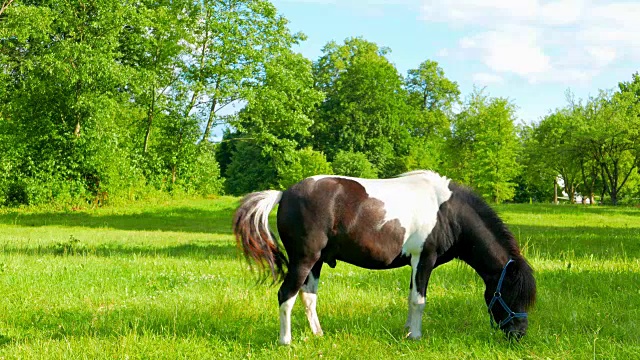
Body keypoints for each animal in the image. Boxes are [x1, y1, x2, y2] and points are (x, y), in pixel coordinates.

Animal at [234, 172, 536, 346]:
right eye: (511, 292)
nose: (520, 334)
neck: (448, 212)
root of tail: (284, 193)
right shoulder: (423, 259)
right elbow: (419, 301)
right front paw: (416, 336)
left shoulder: (416, 264)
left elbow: (411, 298)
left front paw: (407, 331)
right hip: (303, 260)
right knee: (286, 296)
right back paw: (286, 341)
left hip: (316, 262)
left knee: (309, 297)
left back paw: (318, 334)